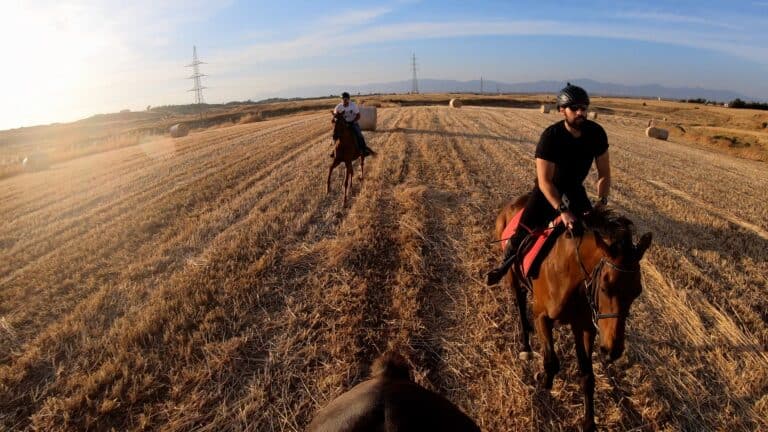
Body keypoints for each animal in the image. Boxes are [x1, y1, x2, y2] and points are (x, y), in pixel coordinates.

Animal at [496, 193, 652, 432]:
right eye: (605, 287)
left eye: (637, 291)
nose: (612, 351)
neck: (571, 273)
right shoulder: (542, 315)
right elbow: (551, 361)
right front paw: (544, 383)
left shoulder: (585, 327)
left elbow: (587, 376)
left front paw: (589, 422)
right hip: (514, 278)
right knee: (521, 307)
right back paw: (525, 347)